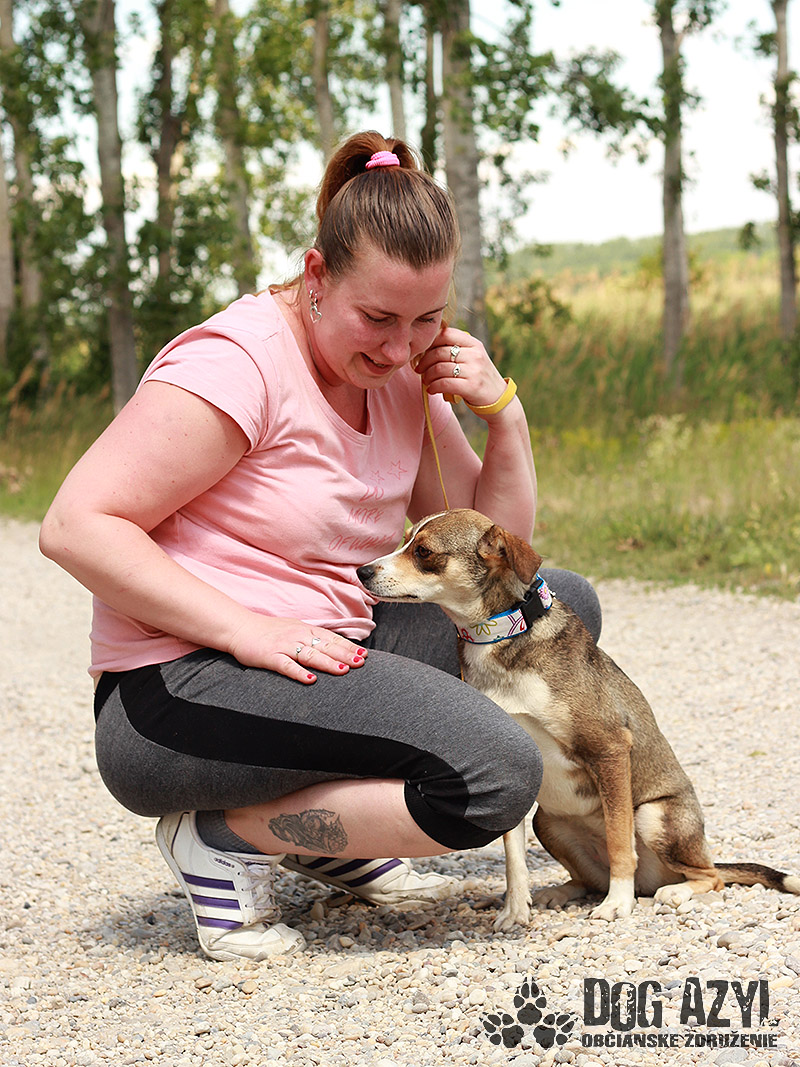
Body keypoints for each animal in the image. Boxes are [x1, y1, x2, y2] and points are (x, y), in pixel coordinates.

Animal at [357, 508, 800, 929]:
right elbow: (513, 858)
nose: (362, 571)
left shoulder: (609, 749)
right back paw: (558, 892)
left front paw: (618, 905)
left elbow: (620, 843)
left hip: (654, 816)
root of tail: (653, 881)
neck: (503, 635)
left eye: (423, 552)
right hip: (549, 824)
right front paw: (515, 910)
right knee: (589, 881)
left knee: (711, 876)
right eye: (404, 540)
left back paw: (671, 892)